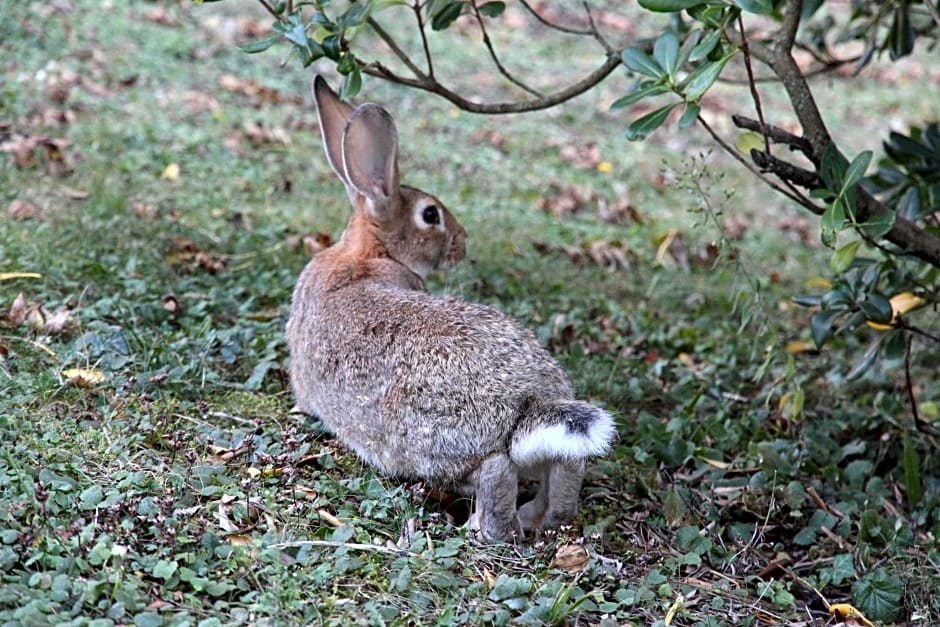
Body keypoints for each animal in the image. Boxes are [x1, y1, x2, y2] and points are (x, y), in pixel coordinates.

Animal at [286, 76, 612, 544]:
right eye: (431, 214)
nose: (462, 242)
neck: (369, 252)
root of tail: (529, 402)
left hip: (433, 445)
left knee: (494, 474)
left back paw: (486, 528)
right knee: (564, 472)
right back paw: (540, 517)